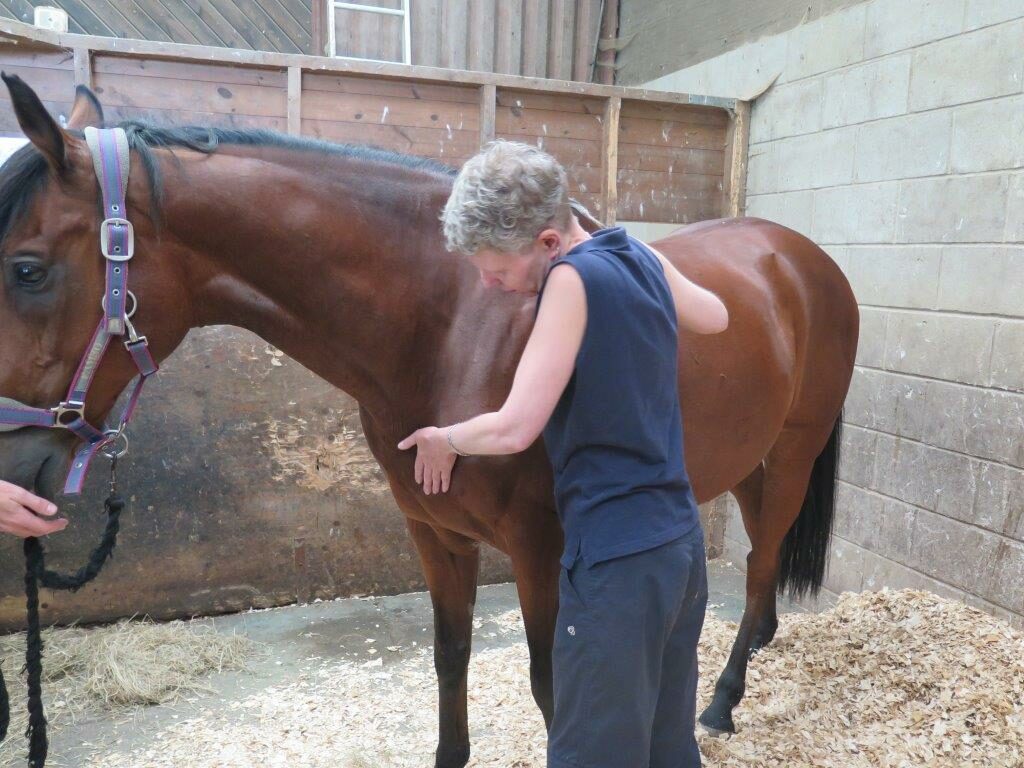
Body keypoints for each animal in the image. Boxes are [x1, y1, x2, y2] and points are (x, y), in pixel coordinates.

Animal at [0, 76, 858, 764]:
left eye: (26, 269)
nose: (15, 467)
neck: (447, 322)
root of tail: (801, 256)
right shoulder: (435, 531)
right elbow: (450, 656)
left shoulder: (542, 548)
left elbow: (552, 685)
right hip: (745, 459)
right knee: (761, 553)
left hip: (793, 453)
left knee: (759, 564)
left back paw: (723, 699)